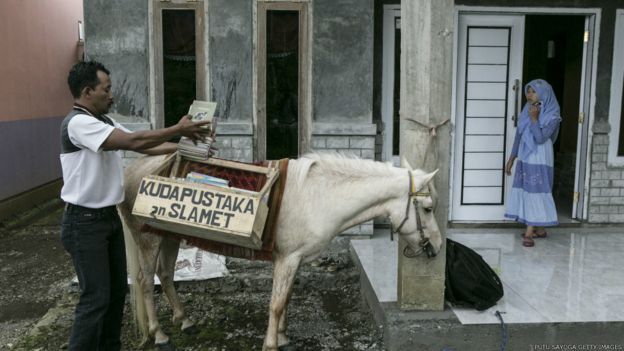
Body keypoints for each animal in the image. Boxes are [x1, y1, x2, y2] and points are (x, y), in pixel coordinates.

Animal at [118, 153, 444, 351]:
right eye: (428, 208)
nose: (438, 247)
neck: (319, 197)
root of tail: (132, 171)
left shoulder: (294, 259)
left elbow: (286, 298)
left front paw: (284, 336)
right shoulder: (286, 259)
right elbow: (275, 303)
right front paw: (271, 343)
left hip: (169, 237)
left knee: (166, 275)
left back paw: (185, 320)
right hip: (148, 239)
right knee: (146, 282)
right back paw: (159, 334)